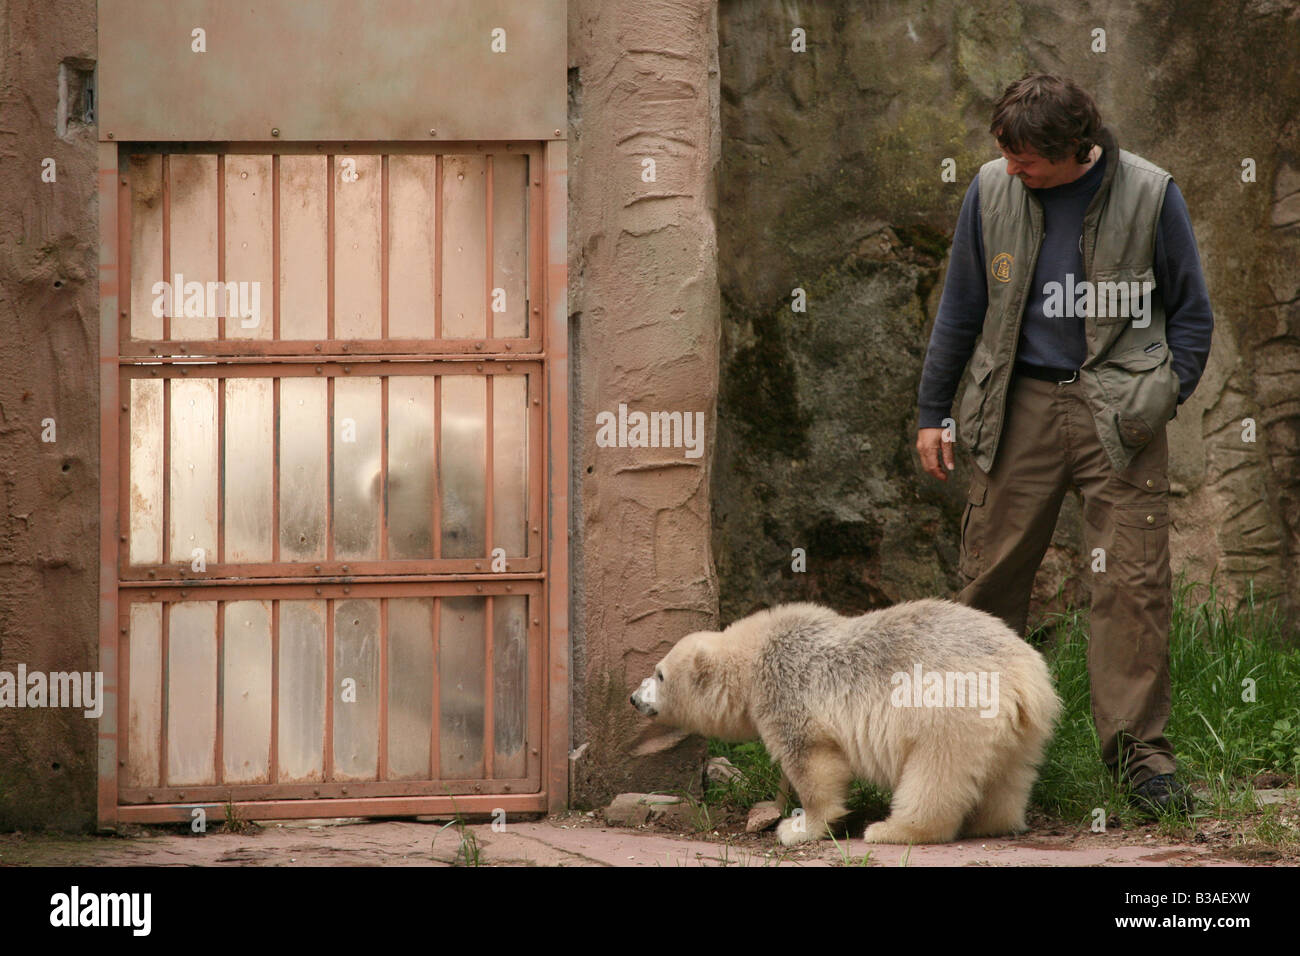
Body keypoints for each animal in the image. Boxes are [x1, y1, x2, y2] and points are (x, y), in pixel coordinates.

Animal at [631, 598, 1066, 842]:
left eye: (659, 674)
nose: (634, 698)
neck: (756, 655)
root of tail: (1022, 677)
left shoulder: (787, 691)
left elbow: (813, 763)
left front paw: (799, 828)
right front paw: (773, 805)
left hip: (951, 711)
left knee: (935, 773)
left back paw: (893, 830)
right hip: (1027, 725)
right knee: (1010, 775)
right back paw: (988, 823)